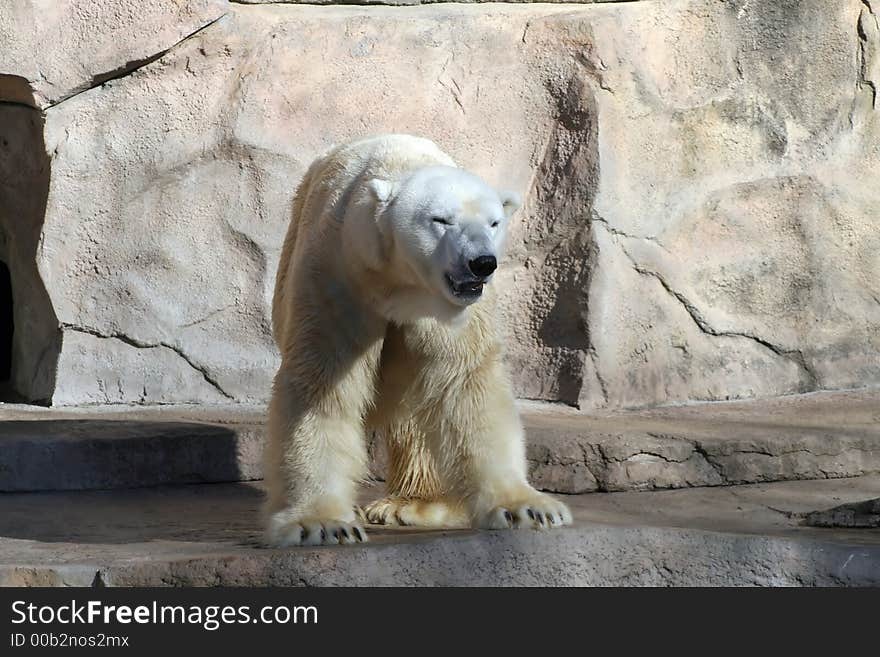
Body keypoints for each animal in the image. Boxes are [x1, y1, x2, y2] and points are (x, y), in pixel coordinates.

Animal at [264, 132, 576, 544]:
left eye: (494, 222)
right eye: (440, 220)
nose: (482, 263)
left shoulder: (450, 311)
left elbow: (466, 384)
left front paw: (527, 508)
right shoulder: (339, 273)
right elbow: (323, 384)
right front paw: (321, 525)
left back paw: (416, 506)